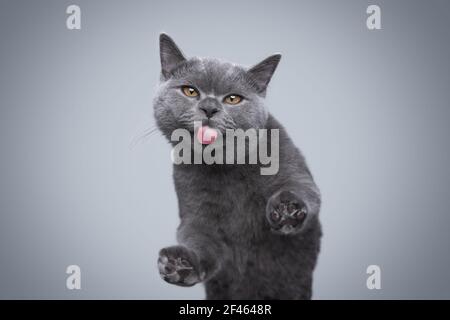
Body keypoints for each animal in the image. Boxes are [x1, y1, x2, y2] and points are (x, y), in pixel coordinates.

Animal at [153, 33, 322, 298]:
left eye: (233, 98)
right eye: (190, 91)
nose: (209, 108)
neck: (226, 163)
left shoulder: (291, 165)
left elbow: (304, 191)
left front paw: (286, 209)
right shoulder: (196, 214)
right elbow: (200, 240)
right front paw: (180, 264)